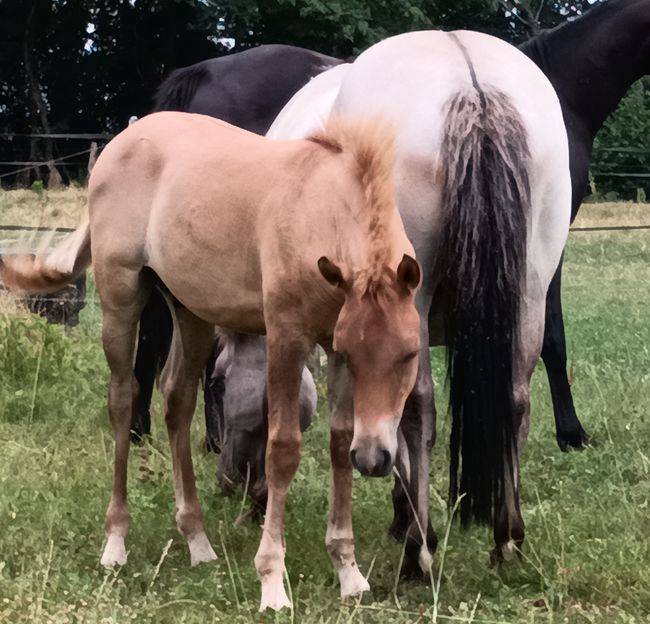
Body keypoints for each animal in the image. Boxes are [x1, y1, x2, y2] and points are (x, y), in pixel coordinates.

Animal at [0, 113, 422, 611]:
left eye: (410, 354)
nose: (375, 459)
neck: (323, 211)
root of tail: (121, 141)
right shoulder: (288, 338)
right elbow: (283, 448)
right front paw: (272, 582)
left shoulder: (331, 346)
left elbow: (339, 443)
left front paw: (348, 571)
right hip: (120, 298)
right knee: (123, 400)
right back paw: (115, 542)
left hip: (190, 312)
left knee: (177, 400)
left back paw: (197, 541)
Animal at [269, 28, 571, 571]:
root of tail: (472, 85)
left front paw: (405, 516)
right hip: (531, 292)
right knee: (516, 398)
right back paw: (507, 538)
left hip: (417, 292)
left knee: (420, 408)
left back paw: (420, 552)